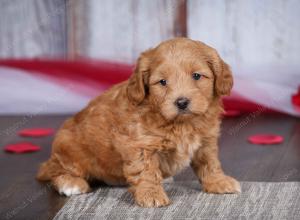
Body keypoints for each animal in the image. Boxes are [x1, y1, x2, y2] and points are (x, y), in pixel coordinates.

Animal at [36, 38, 240, 208]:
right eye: (162, 82)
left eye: (196, 76)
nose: (181, 102)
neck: (181, 123)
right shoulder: (140, 144)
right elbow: (145, 171)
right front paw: (151, 194)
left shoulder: (206, 140)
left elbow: (209, 163)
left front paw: (219, 182)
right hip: (69, 149)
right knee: (53, 170)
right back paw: (70, 183)